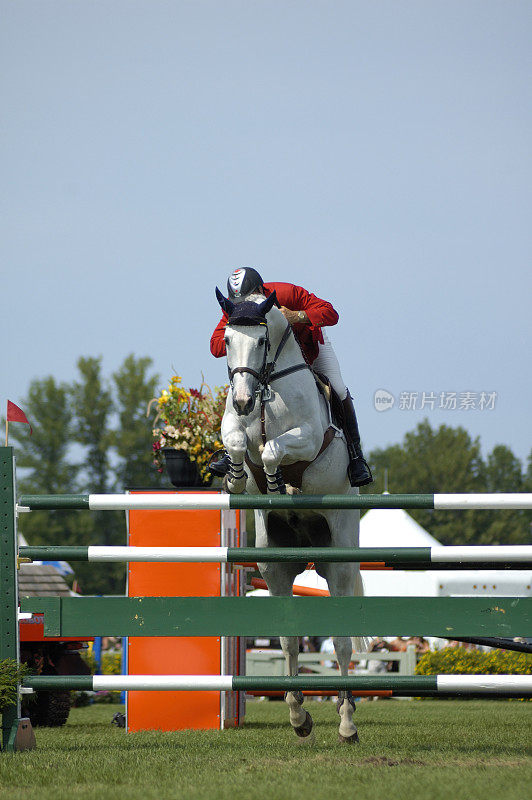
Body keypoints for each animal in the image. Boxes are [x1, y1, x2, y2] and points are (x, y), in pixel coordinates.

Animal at [217, 288, 366, 744]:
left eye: (262, 340)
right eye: (226, 339)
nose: (243, 400)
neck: (267, 387)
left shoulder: (307, 437)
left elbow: (271, 449)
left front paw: (275, 480)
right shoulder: (235, 426)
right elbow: (237, 442)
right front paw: (236, 478)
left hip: (340, 557)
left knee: (342, 642)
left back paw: (347, 719)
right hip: (275, 565)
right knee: (288, 640)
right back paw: (300, 714)